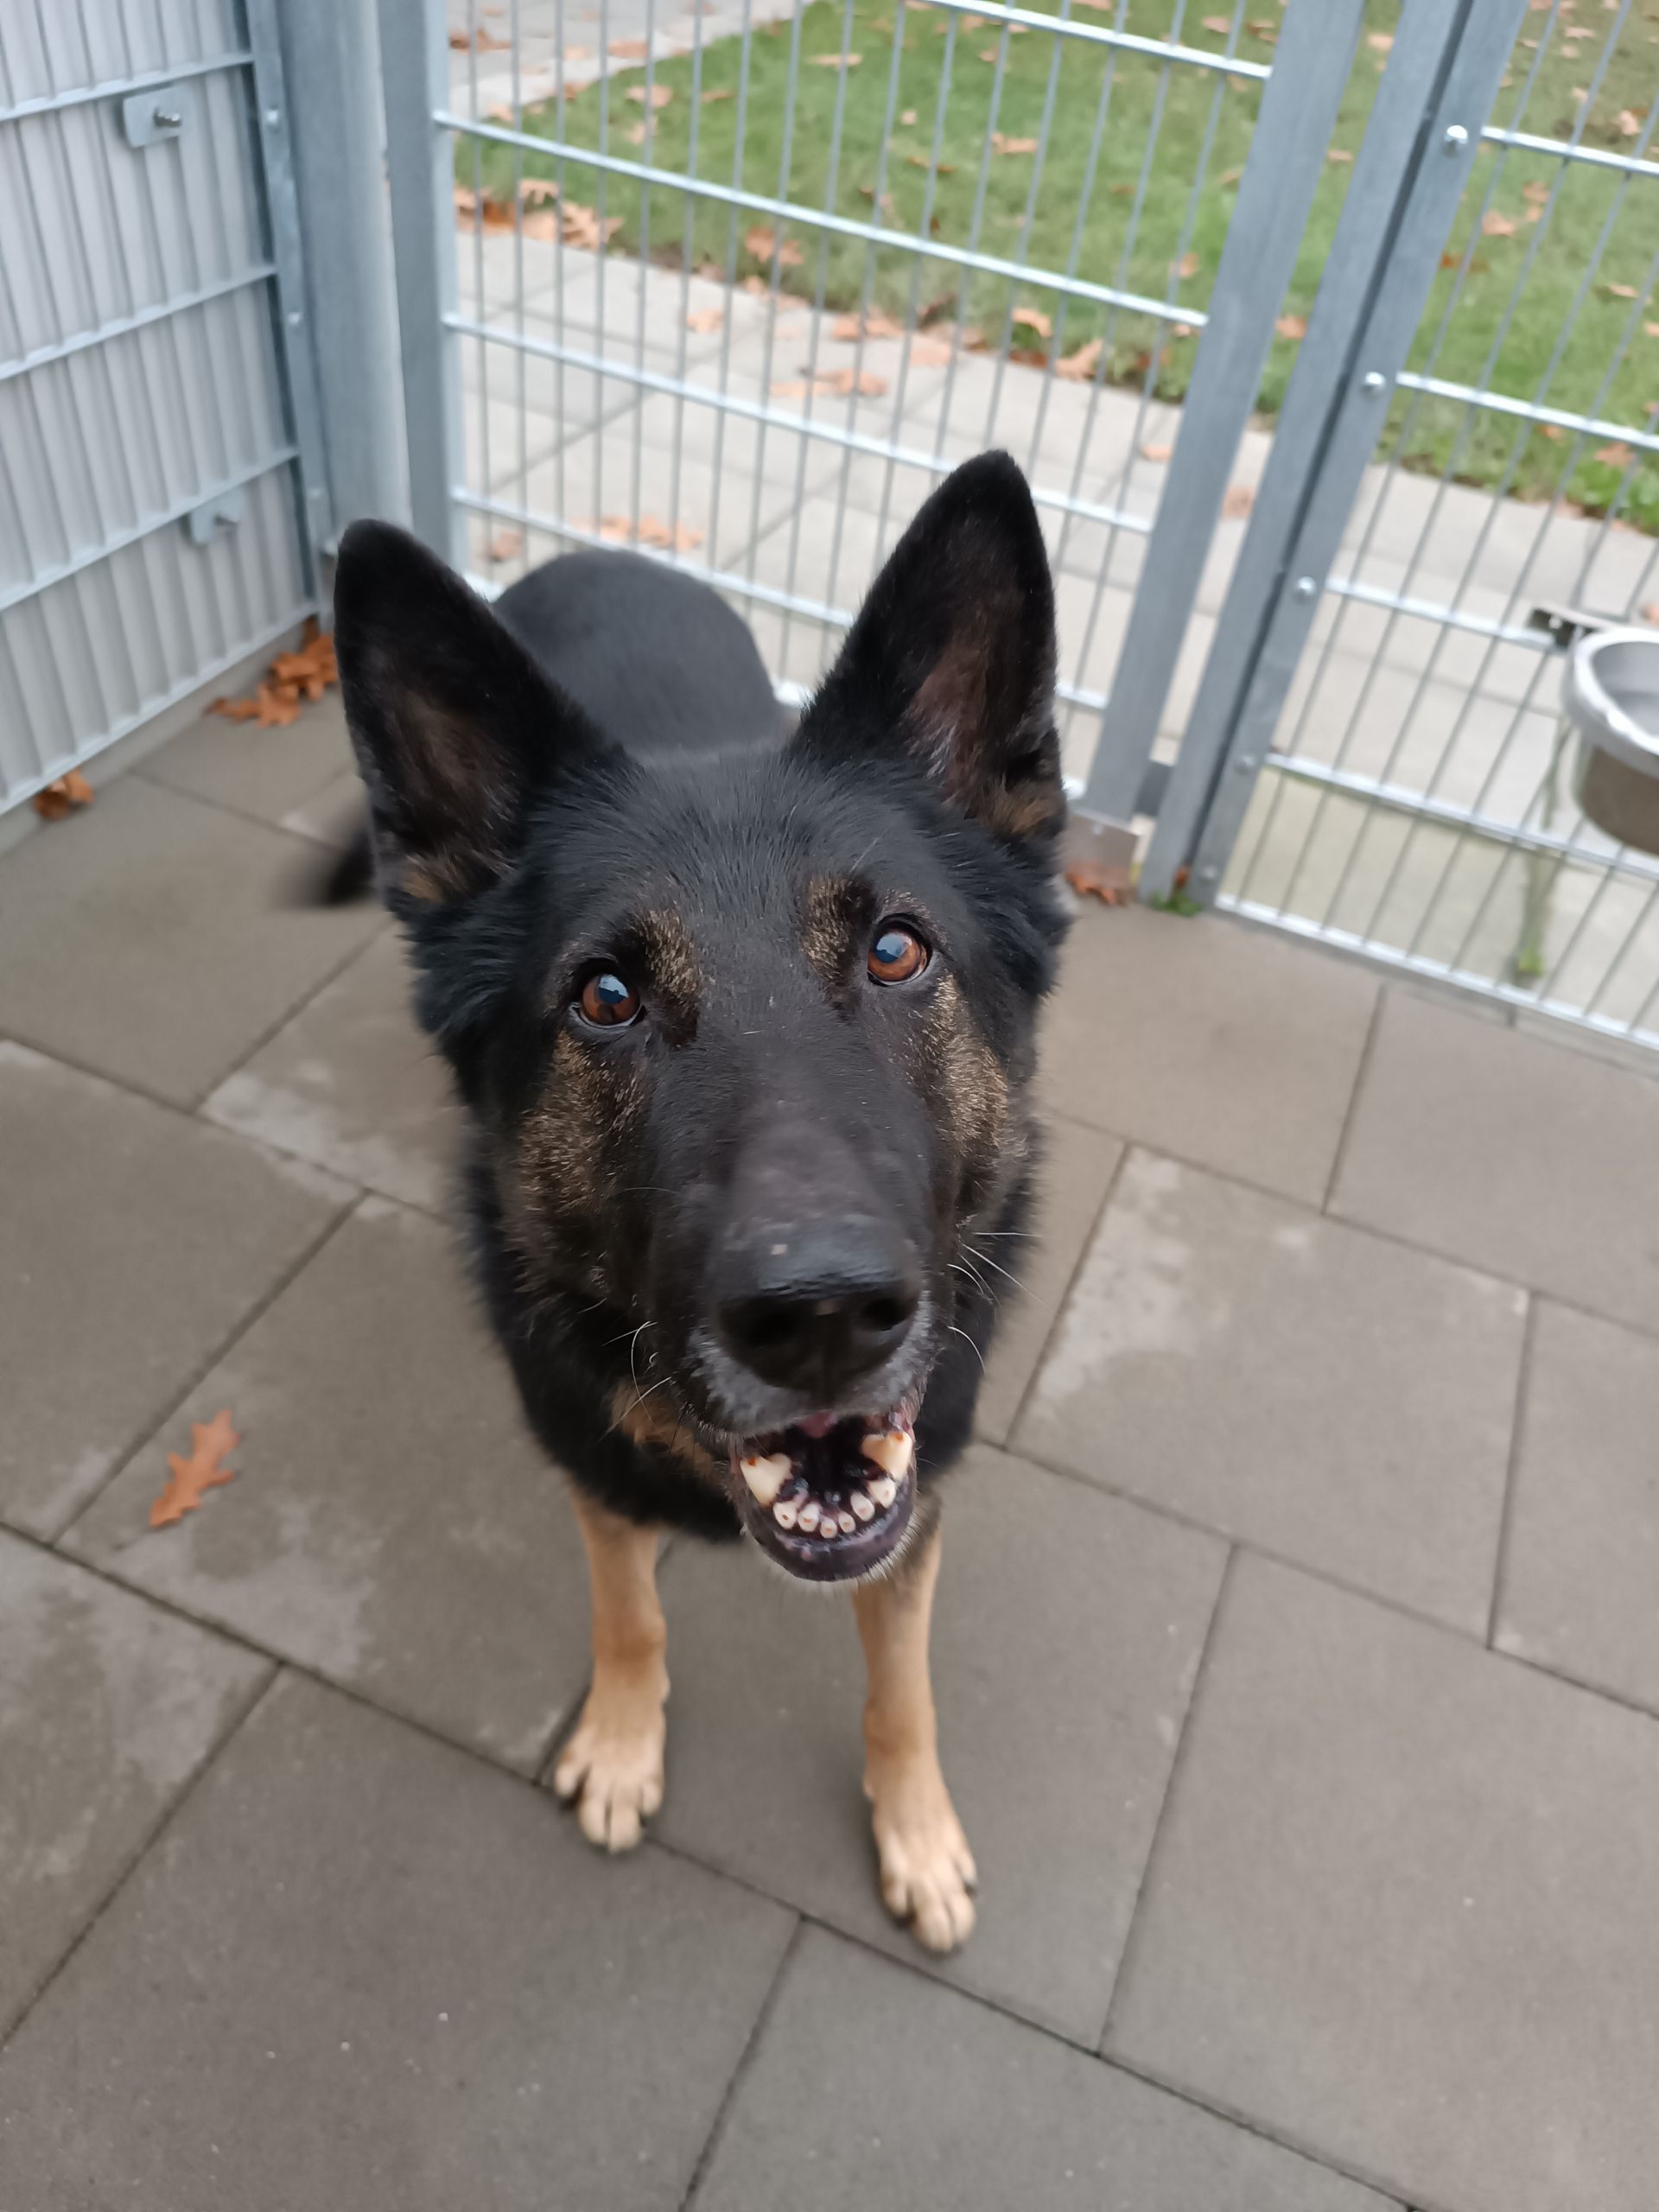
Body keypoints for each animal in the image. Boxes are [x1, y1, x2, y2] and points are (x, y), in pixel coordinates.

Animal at [331, 451, 1067, 1952]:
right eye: (606, 997)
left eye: (897, 951)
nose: (823, 1317)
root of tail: (611, 552)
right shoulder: (591, 1469)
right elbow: (631, 1618)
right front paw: (622, 1744)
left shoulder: (913, 1505)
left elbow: (901, 1685)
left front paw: (916, 1830)